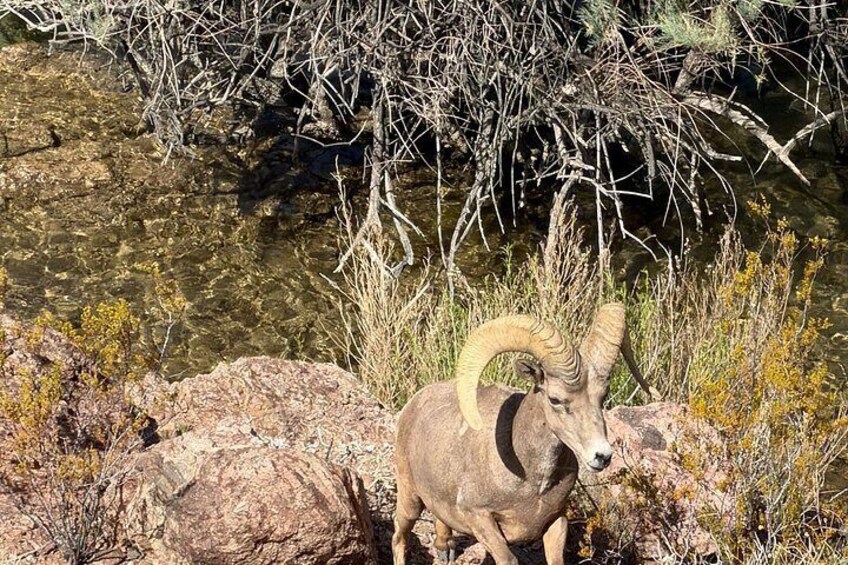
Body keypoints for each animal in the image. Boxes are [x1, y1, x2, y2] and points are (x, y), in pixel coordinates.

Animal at [392, 303, 646, 565]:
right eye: (555, 399)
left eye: (602, 396)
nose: (602, 456)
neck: (532, 483)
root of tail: (413, 405)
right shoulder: (480, 519)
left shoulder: (556, 520)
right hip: (410, 499)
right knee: (399, 535)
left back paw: (445, 548)